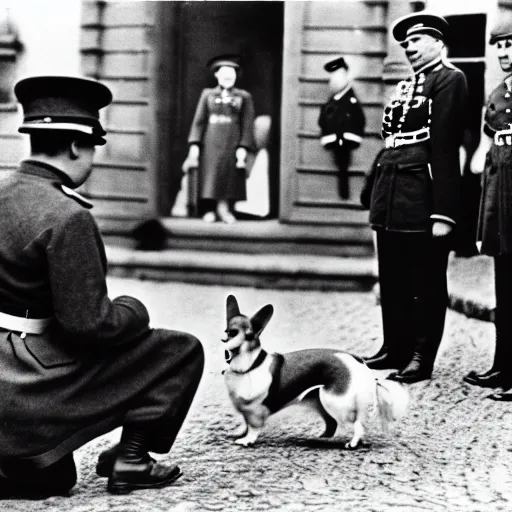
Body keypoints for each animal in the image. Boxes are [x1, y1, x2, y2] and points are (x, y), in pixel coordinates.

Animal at [222, 296, 410, 448]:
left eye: (248, 336)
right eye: (228, 331)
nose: (225, 340)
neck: (249, 365)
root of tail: (360, 363)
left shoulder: (255, 411)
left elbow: (253, 427)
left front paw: (246, 440)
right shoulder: (246, 411)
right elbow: (245, 423)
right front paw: (239, 432)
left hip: (335, 401)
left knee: (357, 424)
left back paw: (352, 443)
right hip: (320, 400)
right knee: (332, 423)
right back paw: (322, 438)